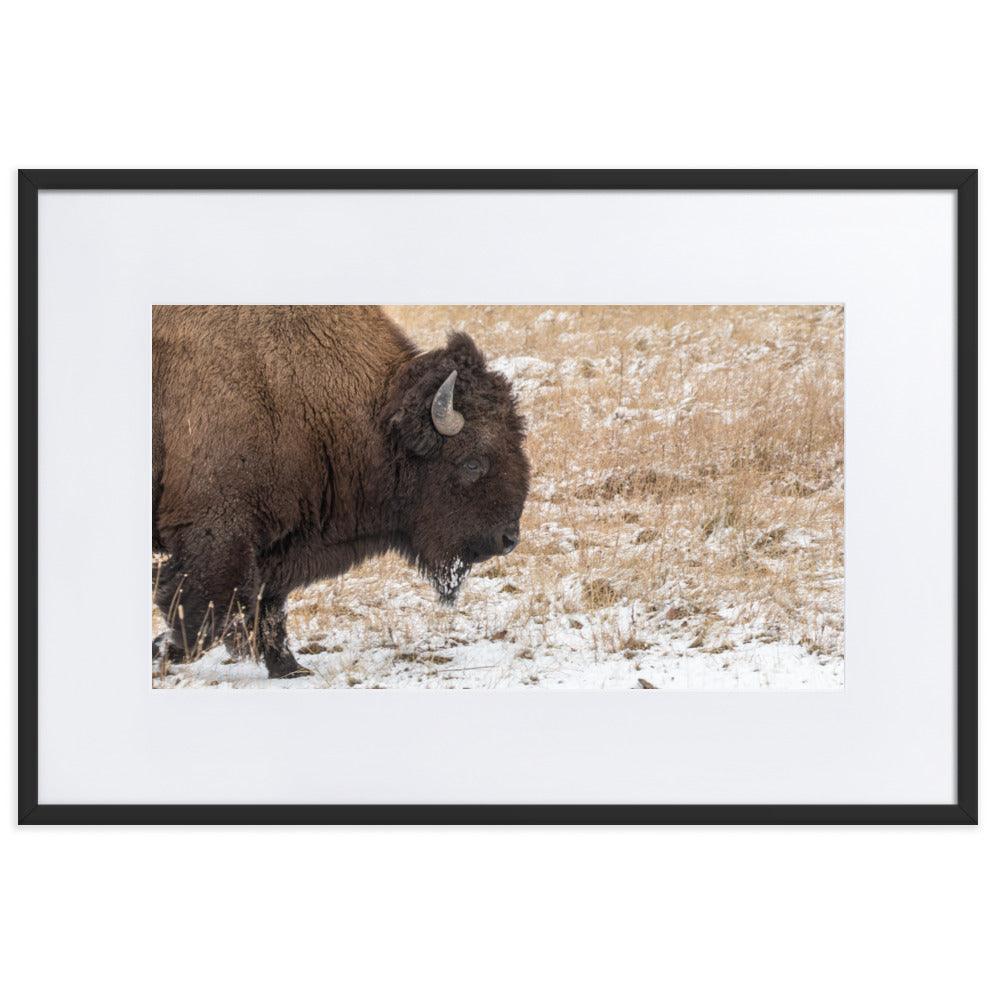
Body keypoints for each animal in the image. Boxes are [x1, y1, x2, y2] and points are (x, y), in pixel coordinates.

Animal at [152, 305, 529, 678]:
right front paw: (163, 649)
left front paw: (291, 669)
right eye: (472, 463)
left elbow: (268, 604)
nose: (508, 539)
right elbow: (205, 611)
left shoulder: (276, 546)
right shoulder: (220, 530)